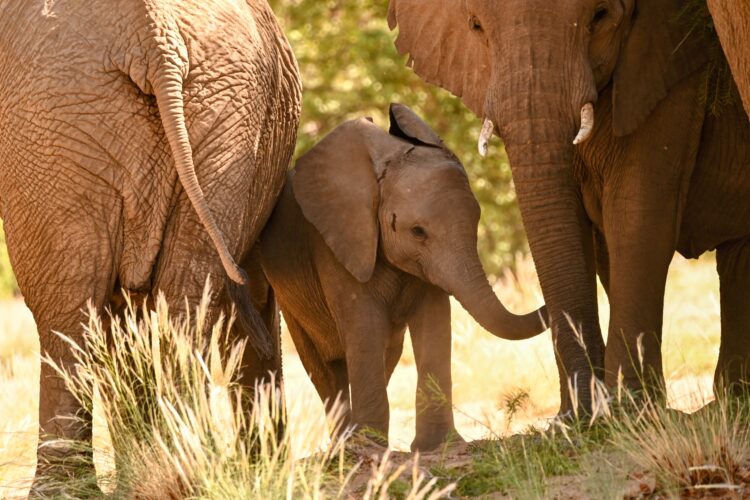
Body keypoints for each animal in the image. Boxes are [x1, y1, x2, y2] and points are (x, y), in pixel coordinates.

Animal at [0, 0, 301, 482]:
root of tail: (156, 37)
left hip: (50, 119)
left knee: (68, 313)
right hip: (225, 118)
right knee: (181, 301)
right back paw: (185, 472)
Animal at [259, 104, 547, 451]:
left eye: (476, 220)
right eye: (418, 232)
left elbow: (433, 321)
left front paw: (437, 446)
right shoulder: (337, 244)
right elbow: (365, 326)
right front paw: (372, 448)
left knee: (387, 354)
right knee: (323, 368)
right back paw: (346, 447)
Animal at [388, 0, 750, 413]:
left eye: (602, 15)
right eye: (475, 25)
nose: (584, 410)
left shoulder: (669, 73)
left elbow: (636, 219)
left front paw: (628, 413)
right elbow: (578, 229)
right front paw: (583, 416)